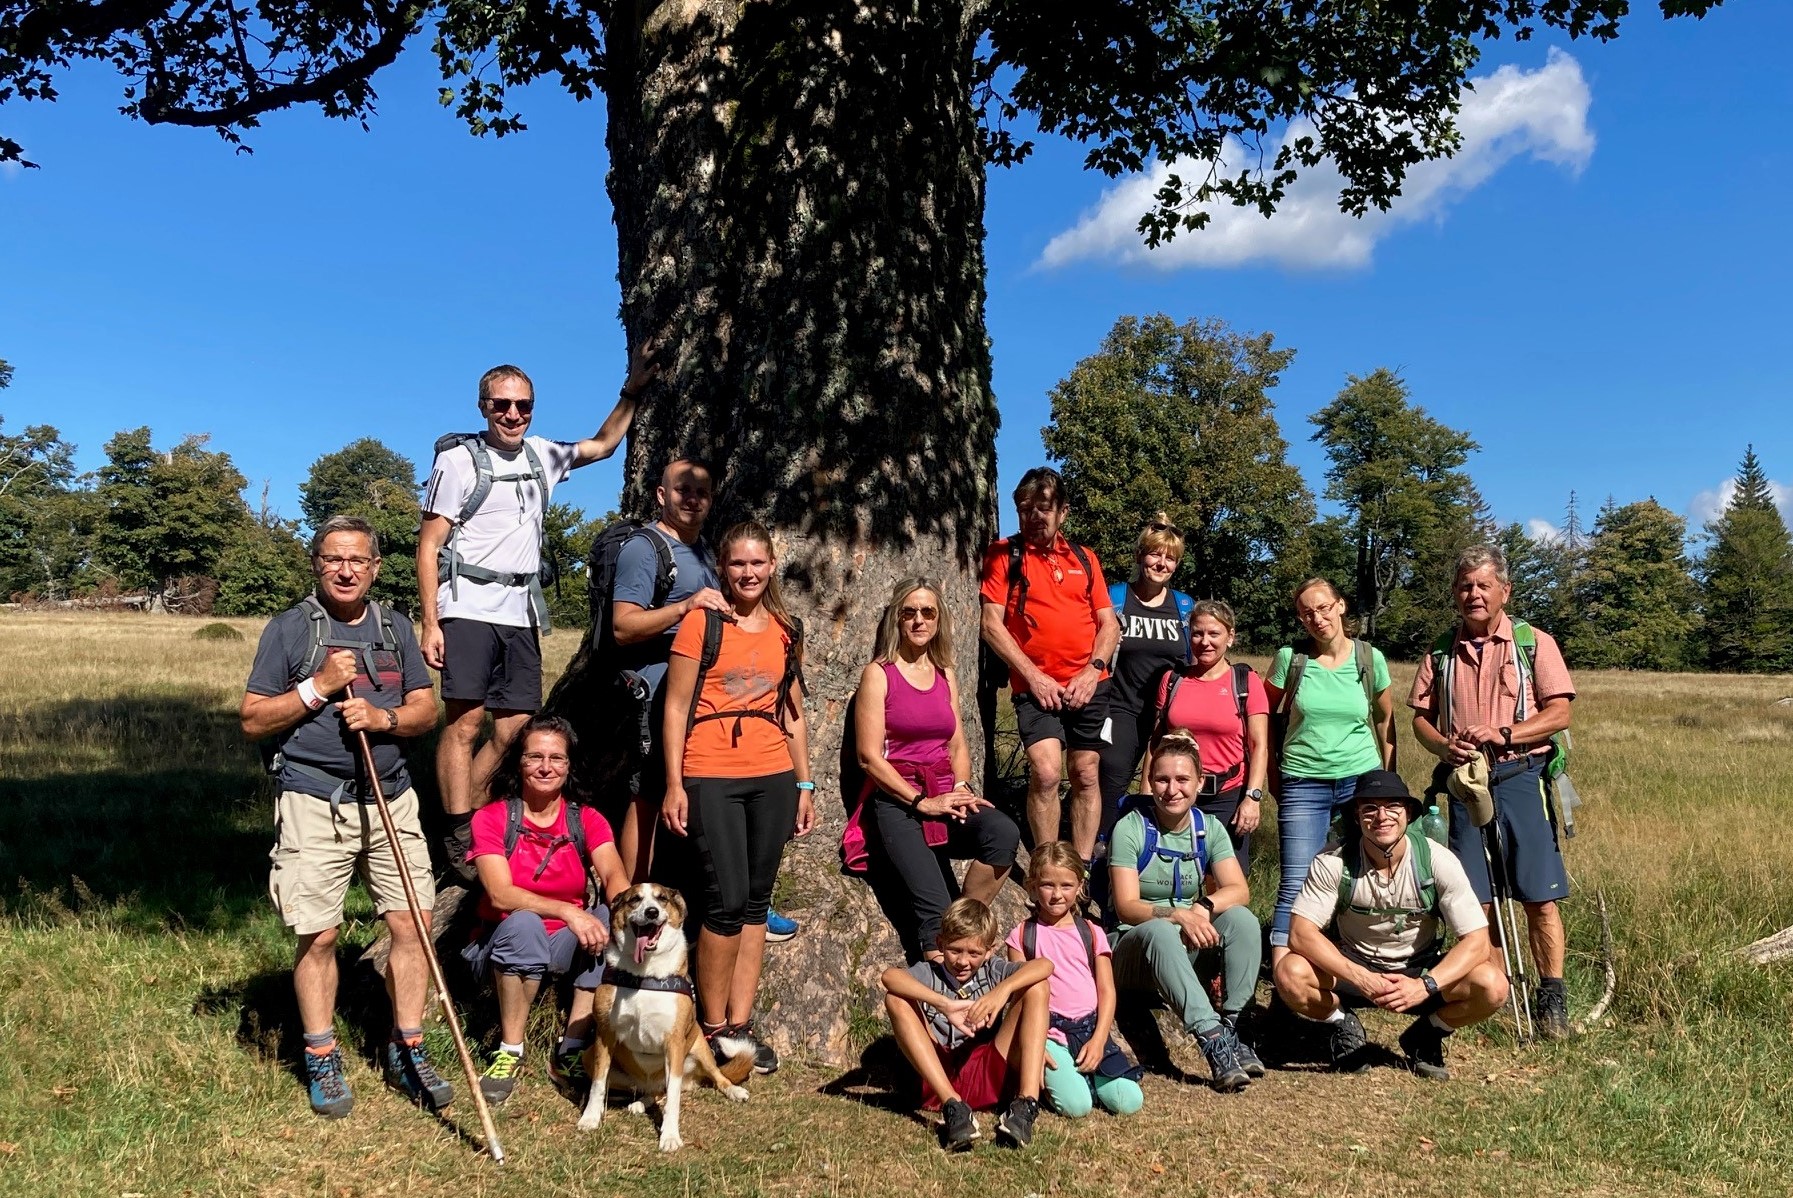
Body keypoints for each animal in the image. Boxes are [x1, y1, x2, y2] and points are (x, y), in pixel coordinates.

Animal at [576, 883, 753, 1151]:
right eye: (635, 900)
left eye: (662, 899)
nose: (651, 912)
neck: (644, 975)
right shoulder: (604, 1035)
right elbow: (597, 1083)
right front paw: (590, 1117)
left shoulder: (674, 1042)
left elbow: (673, 1099)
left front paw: (670, 1136)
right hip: (589, 1056)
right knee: (654, 1091)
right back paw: (641, 1102)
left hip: (700, 1047)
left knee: (713, 1077)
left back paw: (733, 1091)